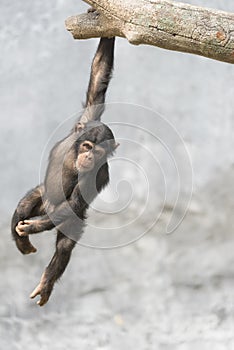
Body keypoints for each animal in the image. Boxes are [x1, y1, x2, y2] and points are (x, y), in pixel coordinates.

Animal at [10, 37, 117, 306]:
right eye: (88, 146)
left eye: (99, 152)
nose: (89, 156)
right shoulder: (86, 120)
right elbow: (98, 78)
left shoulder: (100, 174)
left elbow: (76, 201)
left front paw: (32, 228)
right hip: (42, 198)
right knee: (25, 205)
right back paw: (22, 240)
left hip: (66, 220)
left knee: (64, 245)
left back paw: (47, 280)